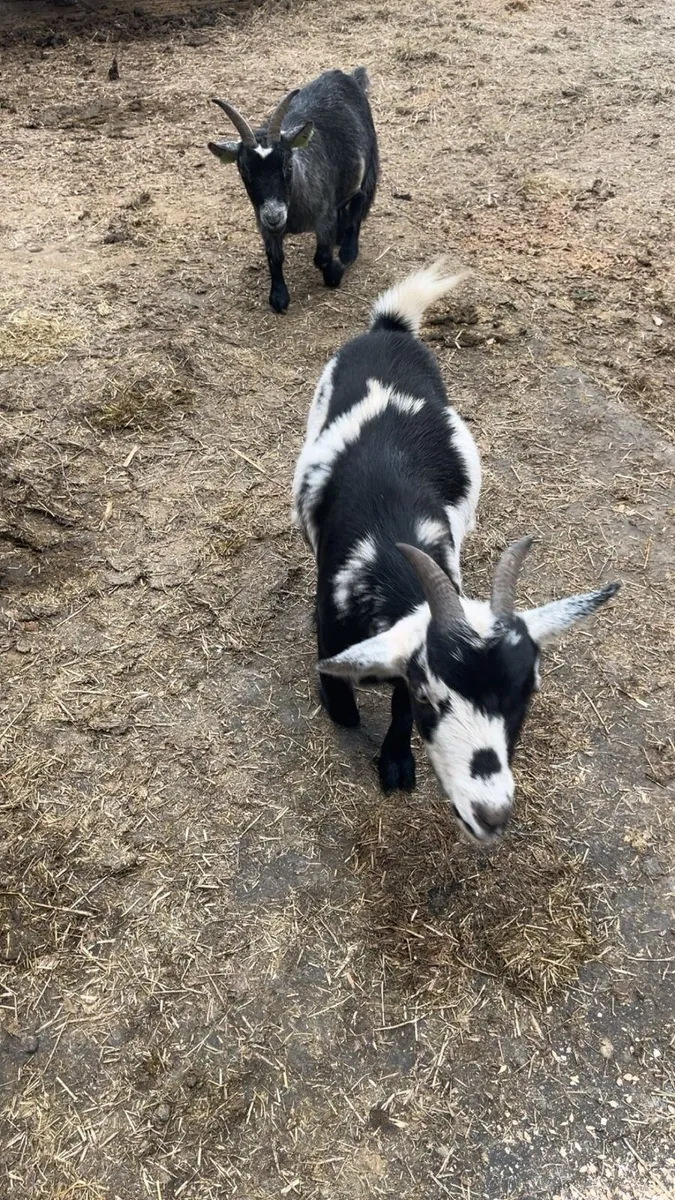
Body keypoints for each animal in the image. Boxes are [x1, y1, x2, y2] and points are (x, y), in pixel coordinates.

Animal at [208, 68, 378, 314]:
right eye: (244, 171)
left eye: (288, 165)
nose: (274, 216)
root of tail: (346, 75)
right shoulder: (265, 227)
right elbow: (275, 257)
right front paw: (279, 297)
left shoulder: (323, 218)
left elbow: (322, 257)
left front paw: (334, 274)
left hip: (369, 165)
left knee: (360, 202)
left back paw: (348, 249)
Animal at [292, 261, 620, 846]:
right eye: (432, 696)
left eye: (528, 692)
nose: (491, 813)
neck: (388, 544)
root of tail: (391, 327)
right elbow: (342, 691)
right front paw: (343, 709)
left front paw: (397, 761)